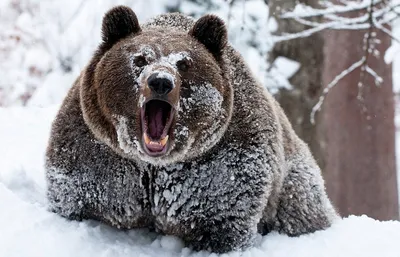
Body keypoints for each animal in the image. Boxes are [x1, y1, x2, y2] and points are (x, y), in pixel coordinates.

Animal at [45, 6, 340, 252]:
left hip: (294, 181)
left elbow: (224, 218)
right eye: (140, 59)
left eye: (184, 63)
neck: (155, 165)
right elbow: (78, 196)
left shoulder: (220, 165)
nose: (160, 81)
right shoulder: (98, 155)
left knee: (301, 209)